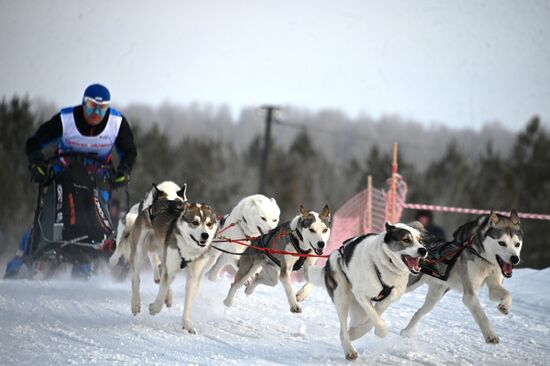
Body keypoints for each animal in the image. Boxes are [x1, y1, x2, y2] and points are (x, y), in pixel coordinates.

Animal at [402, 210, 528, 344]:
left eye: (517, 244)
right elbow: (481, 315)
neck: (485, 259)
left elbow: (508, 294)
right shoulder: (470, 295)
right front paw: (490, 334)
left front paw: (505, 306)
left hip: (435, 297)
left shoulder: (494, 285)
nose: (515, 259)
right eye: (502, 243)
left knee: (419, 312)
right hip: (410, 284)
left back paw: (406, 331)